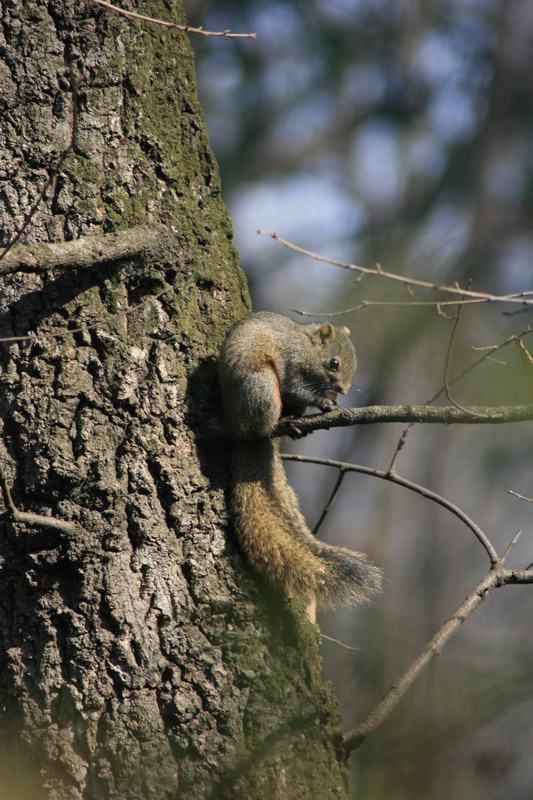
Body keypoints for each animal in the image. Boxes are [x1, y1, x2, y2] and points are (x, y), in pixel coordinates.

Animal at [216, 310, 382, 620]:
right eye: (334, 363)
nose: (343, 390)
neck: (306, 345)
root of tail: (241, 434)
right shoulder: (291, 364)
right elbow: (295, 388)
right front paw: (324, 403)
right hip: (259, 387)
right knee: (263, 423)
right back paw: (278, 425)